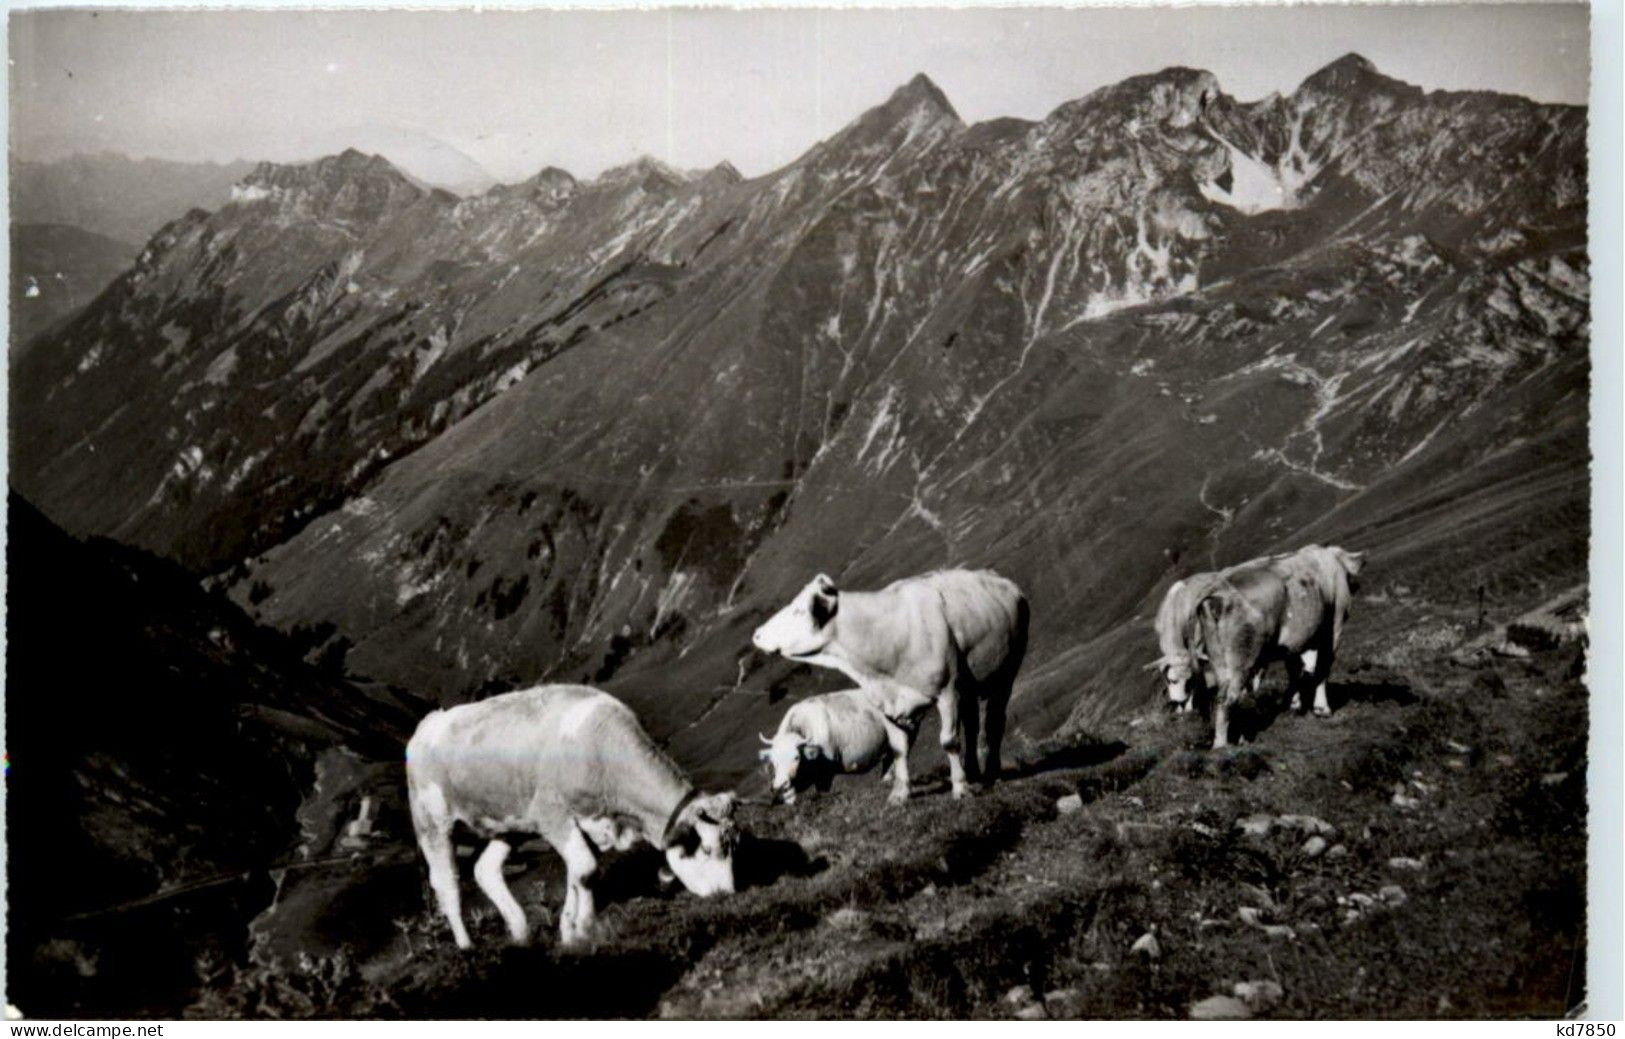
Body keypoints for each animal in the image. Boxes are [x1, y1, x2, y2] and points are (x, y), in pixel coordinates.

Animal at [406, 686, 744, 949]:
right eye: (708, 849)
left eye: (733, 846)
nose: (726, 895)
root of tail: (428, 724)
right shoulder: (552, 815)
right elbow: (584, 869)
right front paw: (580, 927)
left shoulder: (589, 823)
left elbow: (582, 873)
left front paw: (574, 929)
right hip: (432, 823)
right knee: (447, 883)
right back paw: (467, 947)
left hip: (511, 824)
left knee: (485, 869)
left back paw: (520, 931)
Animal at [1189, 546, 1365, 747]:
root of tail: (1216, 589)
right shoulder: (1333, 629)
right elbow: (1322, 668)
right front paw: (1322, 709)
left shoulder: (1293, 643)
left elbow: (1294, 669)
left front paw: (1293, 704)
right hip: (1241, 658)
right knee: (1225, 700)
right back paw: (1222, 745)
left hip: (1219, 658)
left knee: (1220, 697)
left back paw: (1240, 738)